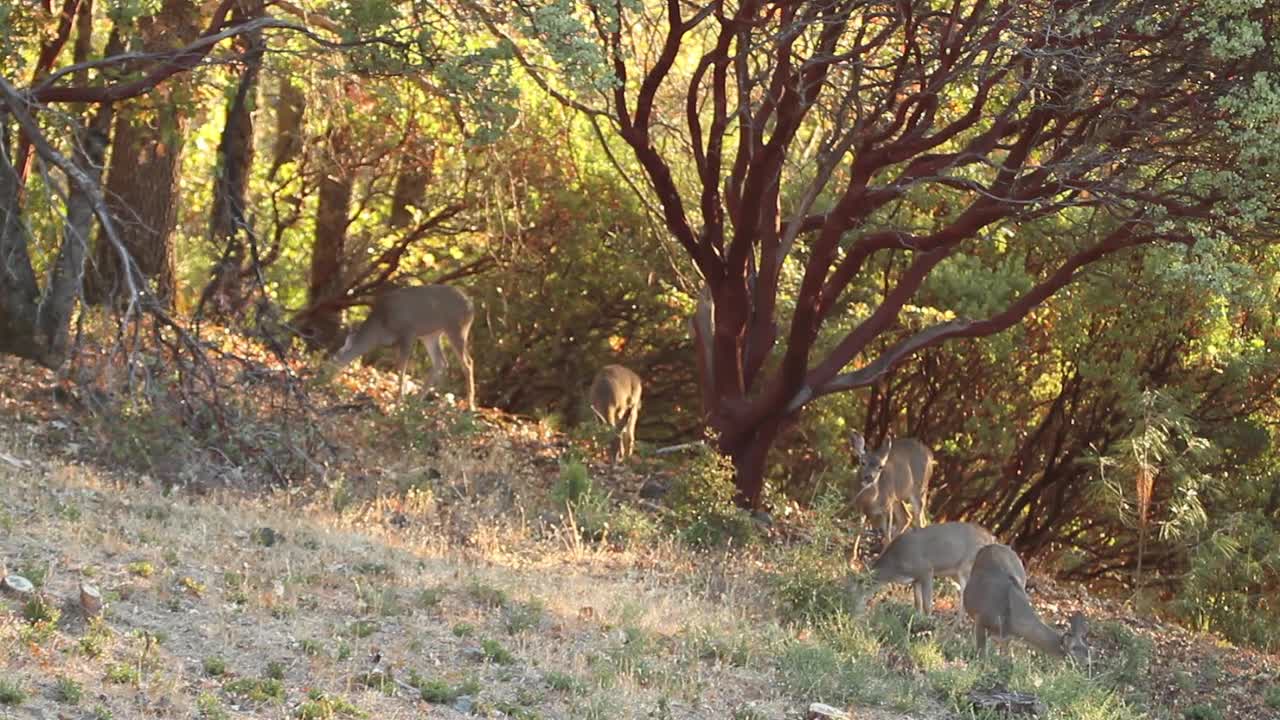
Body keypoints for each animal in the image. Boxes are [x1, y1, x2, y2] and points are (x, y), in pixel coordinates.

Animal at [330, 285, 476, 409]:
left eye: (334, 359)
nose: (325, 376)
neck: (380, 328)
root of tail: (471, 305)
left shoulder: (408, 333)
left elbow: (402, 369)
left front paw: (398, 401)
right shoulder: (396, 344)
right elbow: (398, 368)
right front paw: (400, 399)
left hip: (457, 327)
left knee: (467, 363)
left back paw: (470, 405)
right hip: (431, 335)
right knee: (441, 362)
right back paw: (421, 400)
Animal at [849, 517, 998, 614]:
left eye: (853, 591)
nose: (850, 610)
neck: (895, 567)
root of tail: (990, 538)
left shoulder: (926, 570)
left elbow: (927, 605)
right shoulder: (915, 579)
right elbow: (918, 604)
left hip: (967, 567)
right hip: (956, 573)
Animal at [962, 543, 1090, 661]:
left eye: (1088, 652)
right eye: (1075, 653)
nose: (1088, 665)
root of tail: (993, 545)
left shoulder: (1006, 637)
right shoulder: (982, 619)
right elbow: (981, 653)